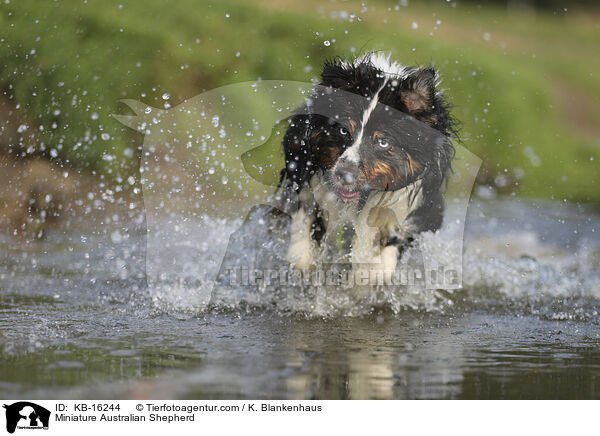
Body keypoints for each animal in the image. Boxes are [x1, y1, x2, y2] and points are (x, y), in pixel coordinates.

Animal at [278, 52, 458, 282]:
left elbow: (384, 254)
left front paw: (370, 270)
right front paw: (302, 257)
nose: (344, 174)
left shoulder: (419, 206)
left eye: (383, 142)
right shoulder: (303, 172)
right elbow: (304, 220)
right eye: (343, 130)